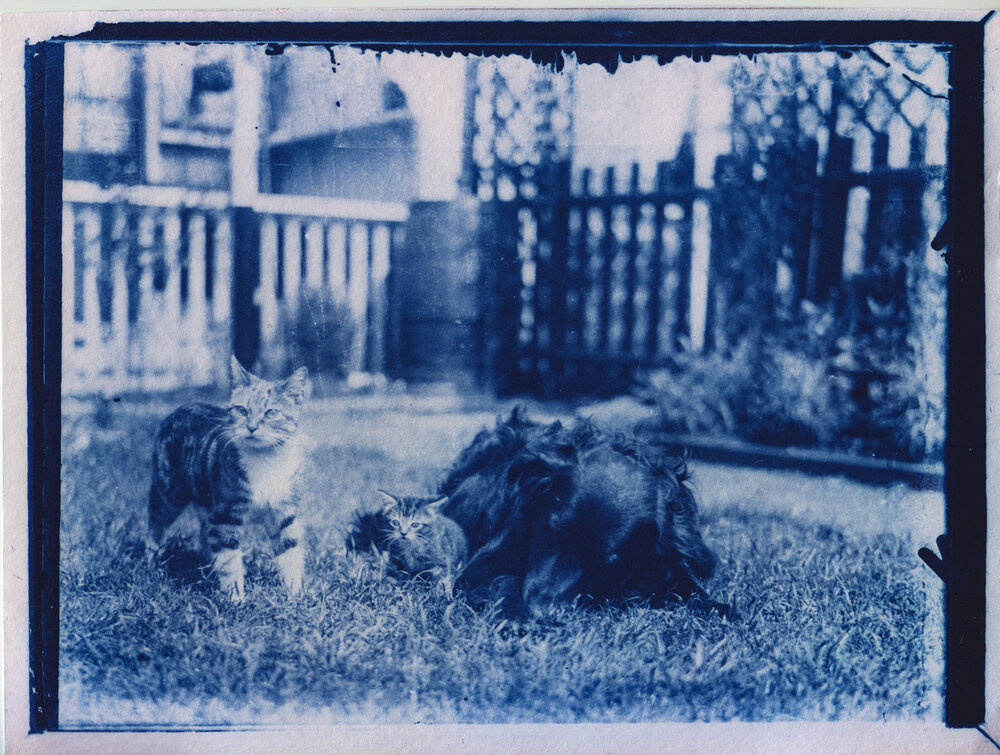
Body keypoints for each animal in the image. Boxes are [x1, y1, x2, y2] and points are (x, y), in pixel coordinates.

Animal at [149, 354, 308, 604]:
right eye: (241, 410)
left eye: (271, 413)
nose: (251, 427)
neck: (265, 461)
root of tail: (183, 406)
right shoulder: (226, 514)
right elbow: (229, 559)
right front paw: (236, 599)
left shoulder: (285, 511)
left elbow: (290, 551)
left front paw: (295, 596)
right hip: (169, 491)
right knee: (156, 524)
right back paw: (151, 565)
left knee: (205, 533)